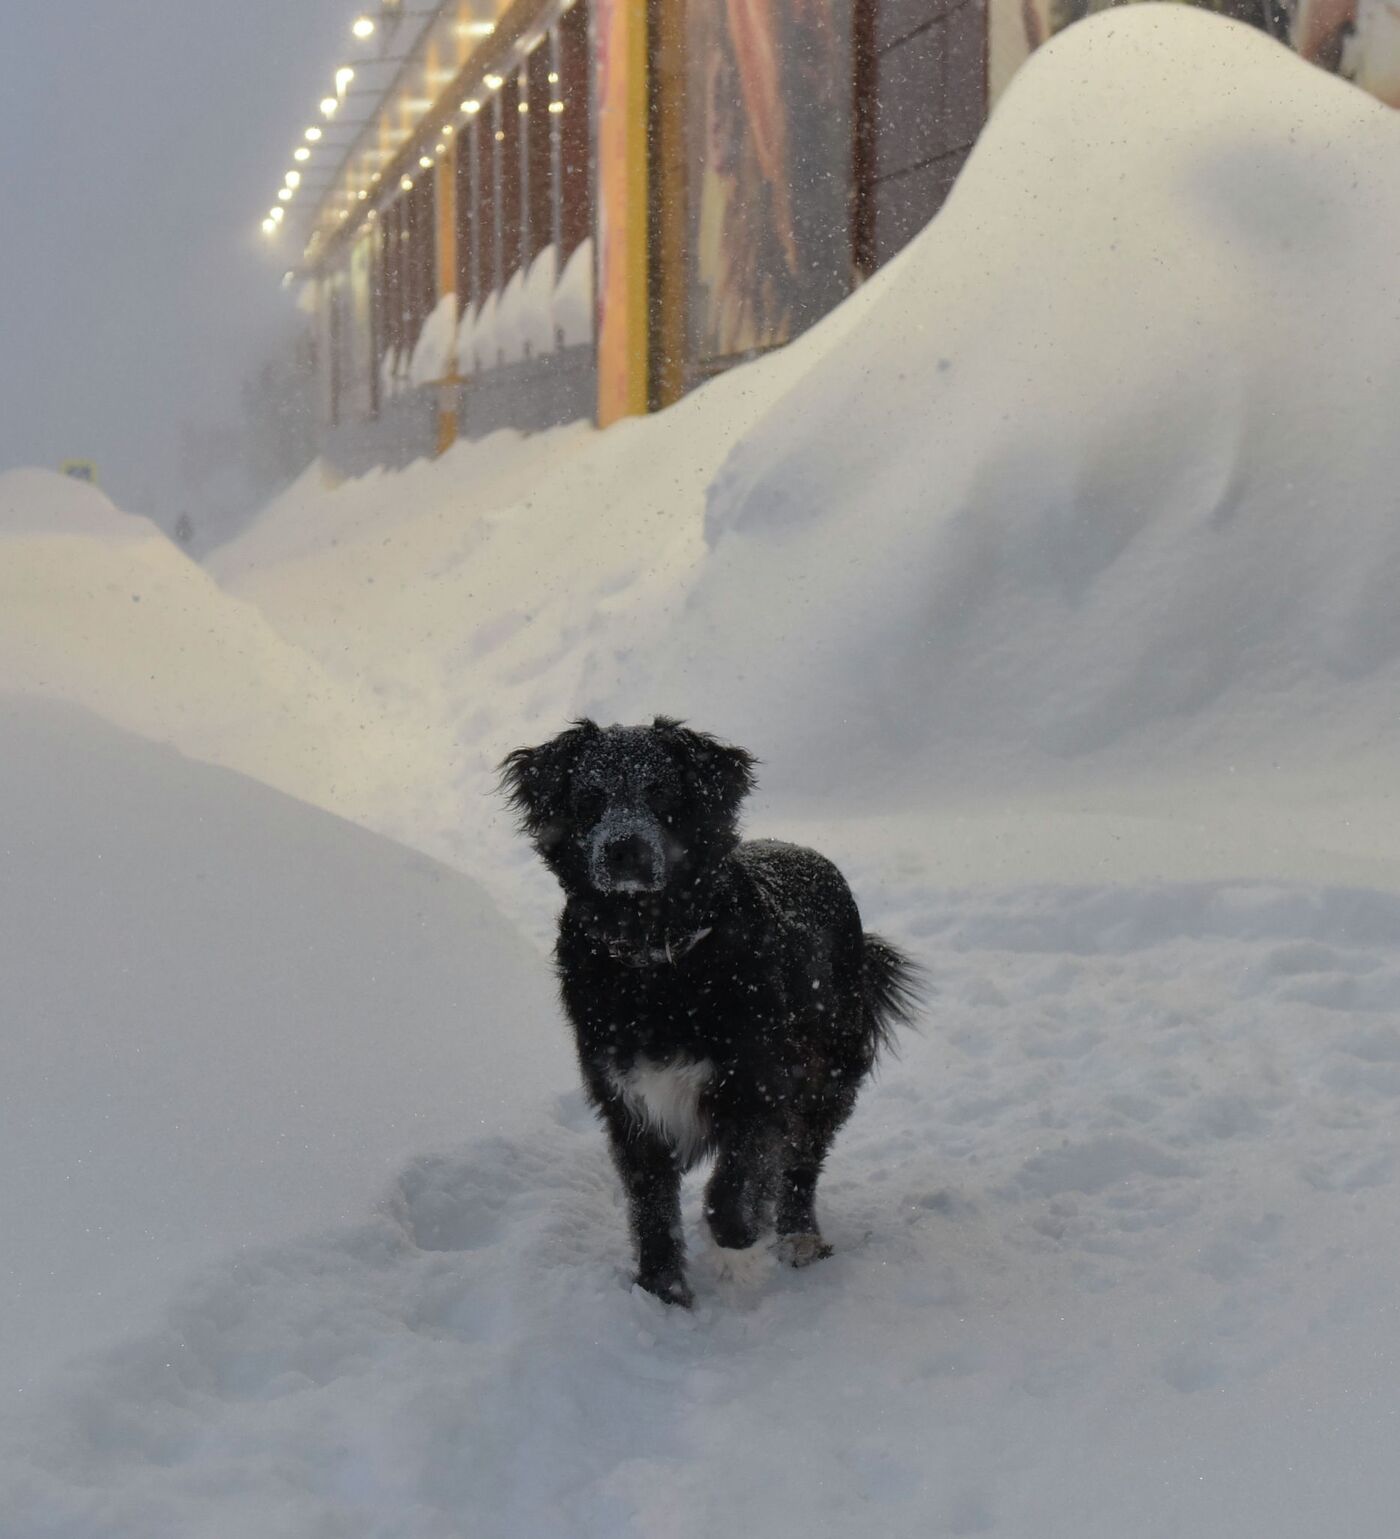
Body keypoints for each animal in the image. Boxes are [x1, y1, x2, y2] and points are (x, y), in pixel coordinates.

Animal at [504, 714, 923, 1305]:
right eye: (589, 799)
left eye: (660, 792)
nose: (623, 849)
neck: (655, 956)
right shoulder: (627, 1102)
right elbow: (651, 1207)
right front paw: (662, 1292)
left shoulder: (758, 1085)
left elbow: (732, 1186)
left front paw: (737, 1253)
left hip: (829, 1071)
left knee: (802, 1163)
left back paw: (797, 1237)